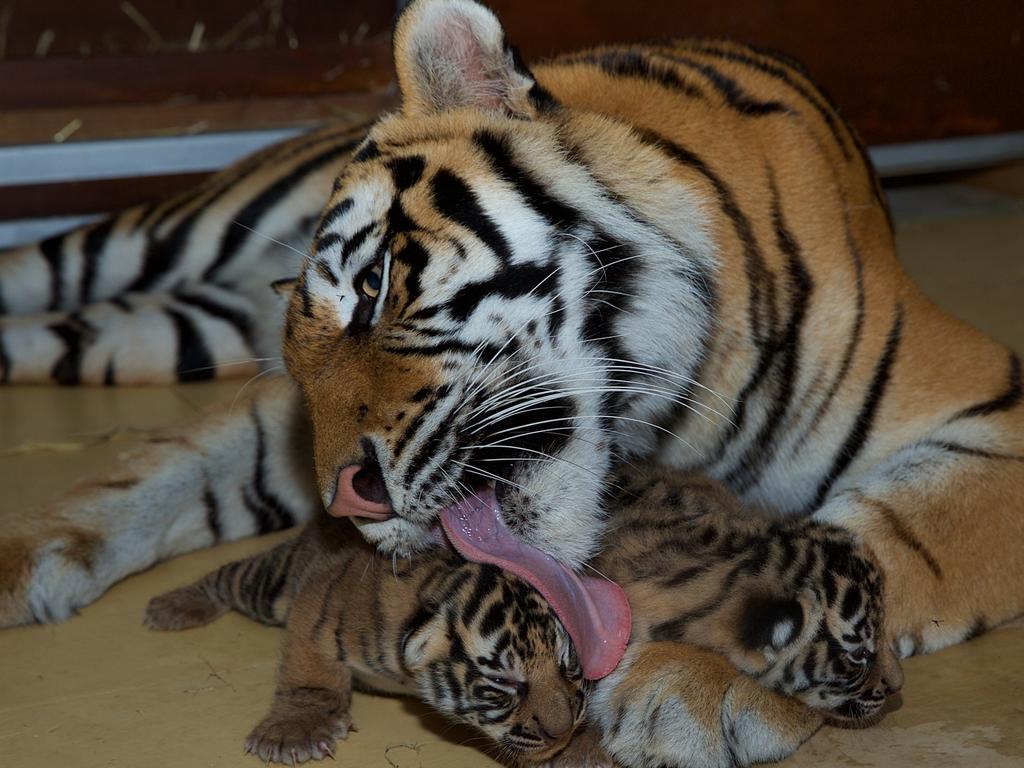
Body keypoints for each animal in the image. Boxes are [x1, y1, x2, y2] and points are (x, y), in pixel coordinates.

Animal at [0, 0, 1019, 761]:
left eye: (372, 286)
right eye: (301, 359)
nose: (349, 504)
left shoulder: (995, 417)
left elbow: (881, 538)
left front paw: (687, 682)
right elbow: (165, 473)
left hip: (160, 327)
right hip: (162, 241)